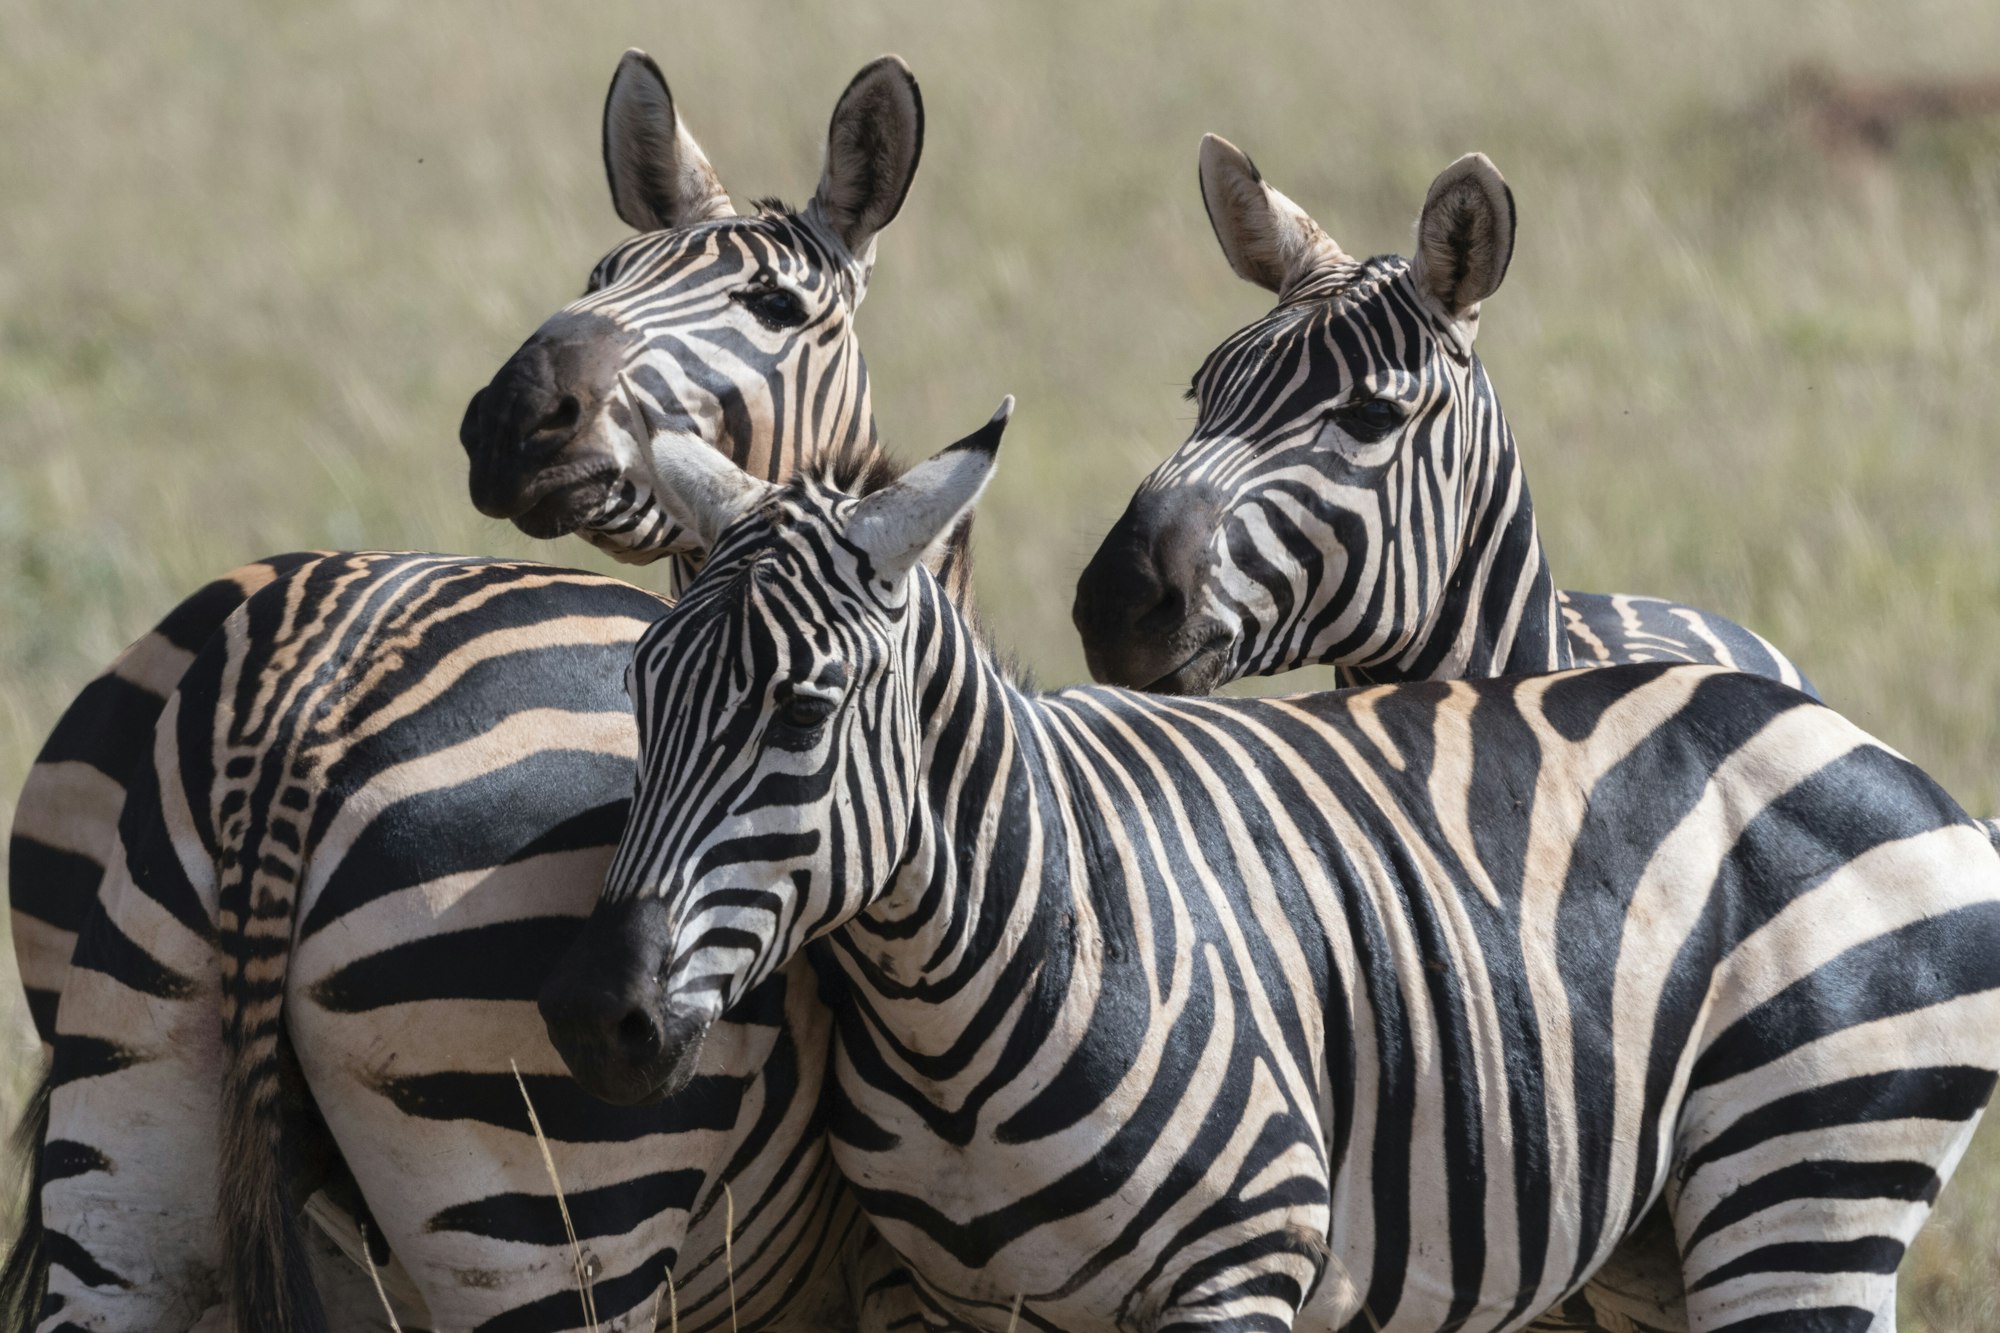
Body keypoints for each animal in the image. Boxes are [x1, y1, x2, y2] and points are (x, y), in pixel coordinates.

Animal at [7, 46, 948, 1320]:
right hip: (542, 1198)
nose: (514, 416)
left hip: (127, 1136)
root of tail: (293, 711)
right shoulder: (901, 1277)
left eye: (774, 309)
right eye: (599, 277)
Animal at [540, 408, 2000, 1328]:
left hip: (1811, 1162)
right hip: (1666, 1244)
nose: (600, 1018)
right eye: (638, 688)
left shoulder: (1243, 1262)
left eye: (800, 711)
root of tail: (1868, 746)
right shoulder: (954, 1300)